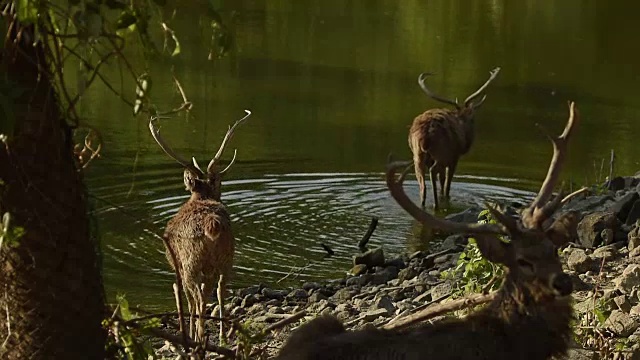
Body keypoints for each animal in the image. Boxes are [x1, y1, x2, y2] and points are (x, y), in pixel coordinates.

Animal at [149, 109, 251, 344]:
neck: (200, 198)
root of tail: (211, 224)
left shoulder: (178, 265)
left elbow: (190, 300)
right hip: (227, 257)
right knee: (220, 291)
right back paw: (221, 336)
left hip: (191, 262)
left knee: (198, 296)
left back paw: (200, 335)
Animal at [408, 67, 502, 211]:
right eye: (473, 119)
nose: (470, 140)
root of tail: (425, 135)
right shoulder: (454, 157)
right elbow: (446, 185)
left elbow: (442, 183)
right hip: (441, 153)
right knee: (433, 171)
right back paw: (436, 205)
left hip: (417, 155)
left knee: (422, 185)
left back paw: (424, 204)